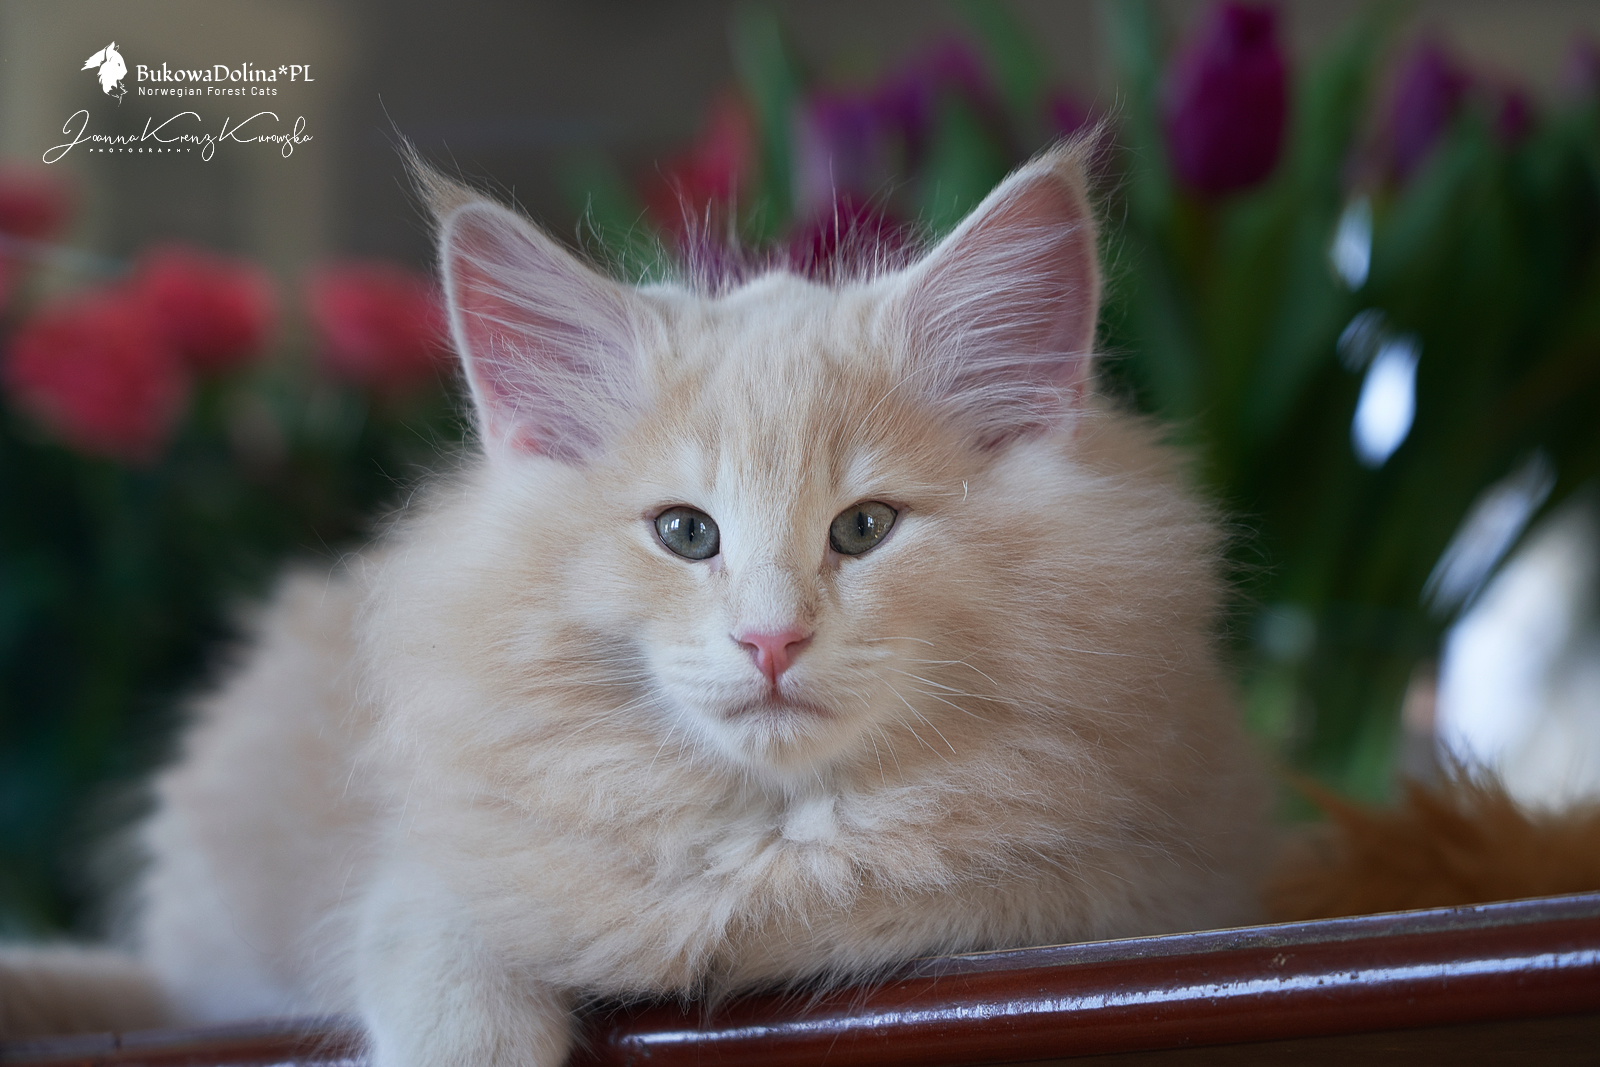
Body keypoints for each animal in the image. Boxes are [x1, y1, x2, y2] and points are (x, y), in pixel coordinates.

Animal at [0, 139, 1269, 1063]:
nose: (770, 637)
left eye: (863, 528)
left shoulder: (1142, 887)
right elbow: (433, 940)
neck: (769, 837)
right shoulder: (441, 865)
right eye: (685, 533)